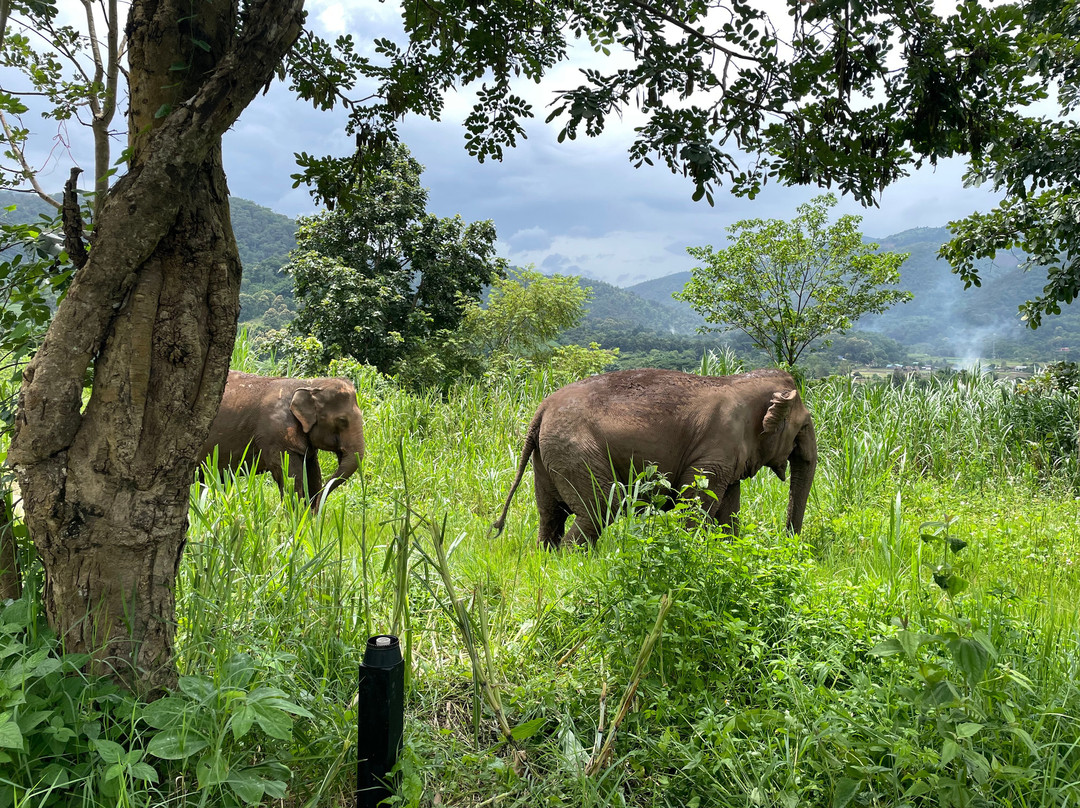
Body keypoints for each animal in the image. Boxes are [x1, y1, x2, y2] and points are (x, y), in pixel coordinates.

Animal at [199, 371, 365, 510]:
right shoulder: (275, 435)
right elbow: (291, 477)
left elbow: (312, 473)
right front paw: (297, 519)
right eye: (342, 420)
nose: (317, 504)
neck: (307, 384)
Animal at [492, 368, 817, 547]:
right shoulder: (715, 453)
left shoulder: (726, 459)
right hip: (576, 453)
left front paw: (733, 549)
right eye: (803, 427)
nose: (788, 542)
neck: (738, 382)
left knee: (550, 515)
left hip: (548, 457)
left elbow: (728, 512)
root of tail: (542, 408)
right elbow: (694, 505)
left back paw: (549, 559)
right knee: (601, 509)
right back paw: (576, 561)